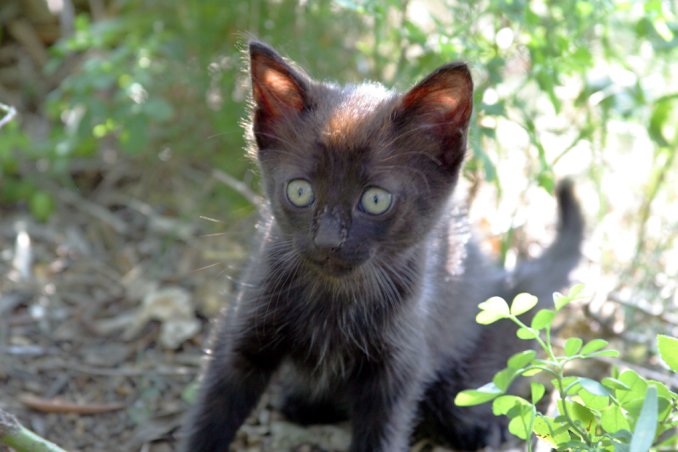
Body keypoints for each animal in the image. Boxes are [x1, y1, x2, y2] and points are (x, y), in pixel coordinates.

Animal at [181, 40, 584, 450]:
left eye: (375, 200)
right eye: (300, 191)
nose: (328, 240)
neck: (333, 300)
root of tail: (501, 282)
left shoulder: (398, 369)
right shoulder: (243, 330)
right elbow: (213, 410)